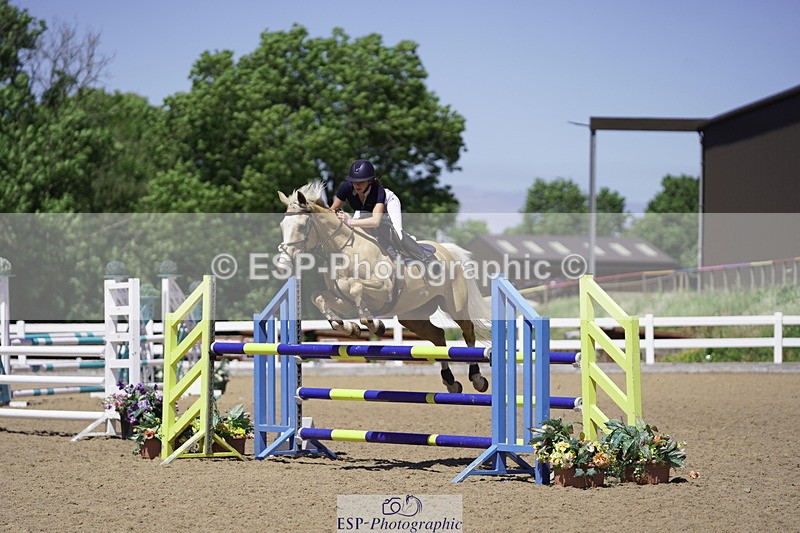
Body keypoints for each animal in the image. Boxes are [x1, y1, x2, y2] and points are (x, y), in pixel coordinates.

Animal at [277, 180, 490, 393]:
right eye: (282, 225)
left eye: (303, 226)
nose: (283, 263)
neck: (343, 251)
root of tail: (447, 250)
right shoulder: (343, 300)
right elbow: (318, 297)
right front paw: (349, 328)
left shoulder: (384, 290)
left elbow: (356, 288)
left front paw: (375, 326)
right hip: (412, 315)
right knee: (438, 336)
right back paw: (450, 381)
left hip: (455, 306)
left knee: (468, 332)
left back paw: (477, 378)